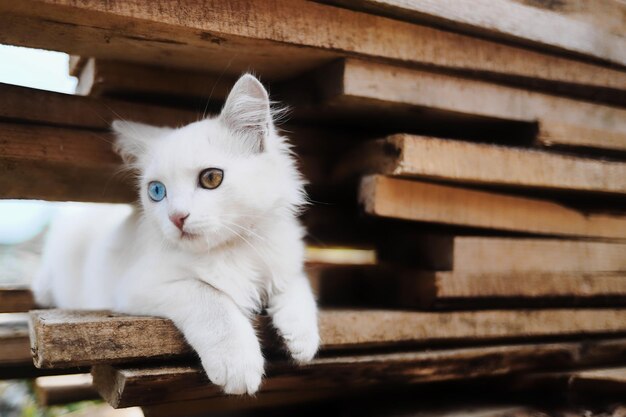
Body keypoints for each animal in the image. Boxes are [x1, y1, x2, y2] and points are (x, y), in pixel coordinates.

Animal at [31, 74, 320, 394]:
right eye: (157, 191)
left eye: (211, 178)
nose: (176, 217)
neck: (232, 249)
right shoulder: (138, 286)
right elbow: (210, 297)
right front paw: (238, 363)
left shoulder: (282, 259)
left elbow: (297, 286)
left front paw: (302, 338)